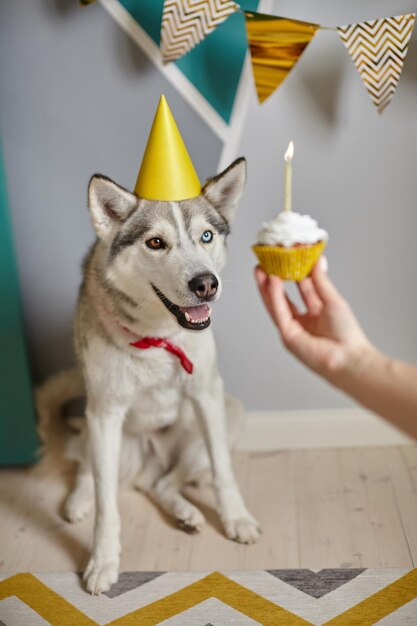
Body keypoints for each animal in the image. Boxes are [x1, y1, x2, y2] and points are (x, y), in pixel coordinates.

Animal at [57, 156, 260, 588]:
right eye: (155, 243)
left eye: (205, 236)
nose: (206, 284)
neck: (158, 336)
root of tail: (150, 459)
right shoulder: (104, 414)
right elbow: (107, 505)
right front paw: (103, 560)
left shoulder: (207, 394)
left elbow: (224, 471)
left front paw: (236, 519)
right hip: (100, 432)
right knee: (89, 469)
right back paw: (79, 499)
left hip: (229, 412)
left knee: (162, 482)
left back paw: (184, 512)